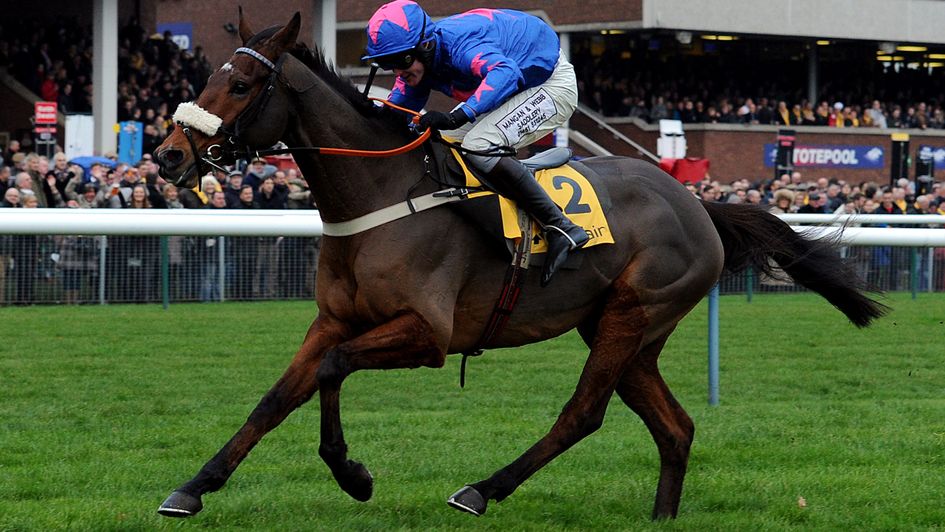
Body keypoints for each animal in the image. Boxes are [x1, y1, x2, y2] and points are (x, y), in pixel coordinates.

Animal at [153, 11, 884, 520]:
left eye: (240, 84)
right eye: (203, 78)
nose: (166, 156)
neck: (384, 193)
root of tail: (697, 201)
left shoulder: (427, 334)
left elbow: (331, 372)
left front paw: (351, 474)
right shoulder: (333, 320)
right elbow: (279, 396)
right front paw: (193, 488)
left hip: (633, 312)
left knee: (583, 413)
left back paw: (482, 489)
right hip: (626, 331)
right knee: (675, 428)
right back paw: (660, 515)